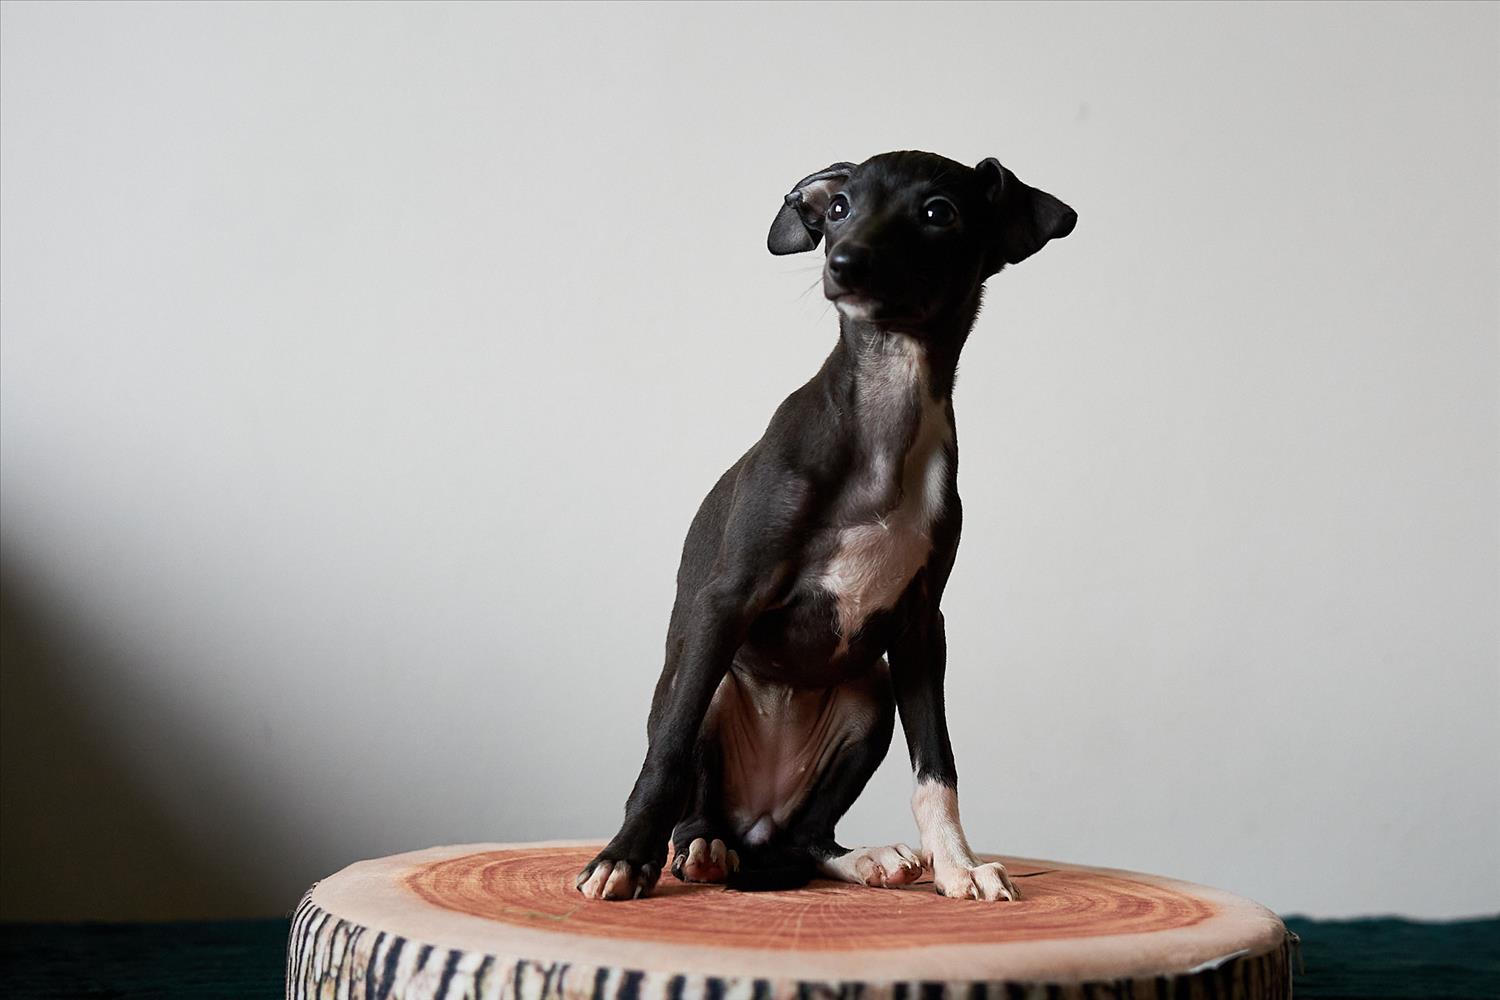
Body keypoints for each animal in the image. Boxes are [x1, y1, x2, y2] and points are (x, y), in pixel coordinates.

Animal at [575, 150, 1076, 901]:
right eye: (839, 207)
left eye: (939, 212)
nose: (844, 263)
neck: (887, 418)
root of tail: (756, 821)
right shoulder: (726, 600)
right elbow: (664, 754)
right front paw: (624, 858)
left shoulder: (922, 628)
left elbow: (938, 768)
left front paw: (958, 865)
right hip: (714, 677)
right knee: (694, 785)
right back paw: (700, 847)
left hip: (869, 696)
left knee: (807, 837)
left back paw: (861, 856)